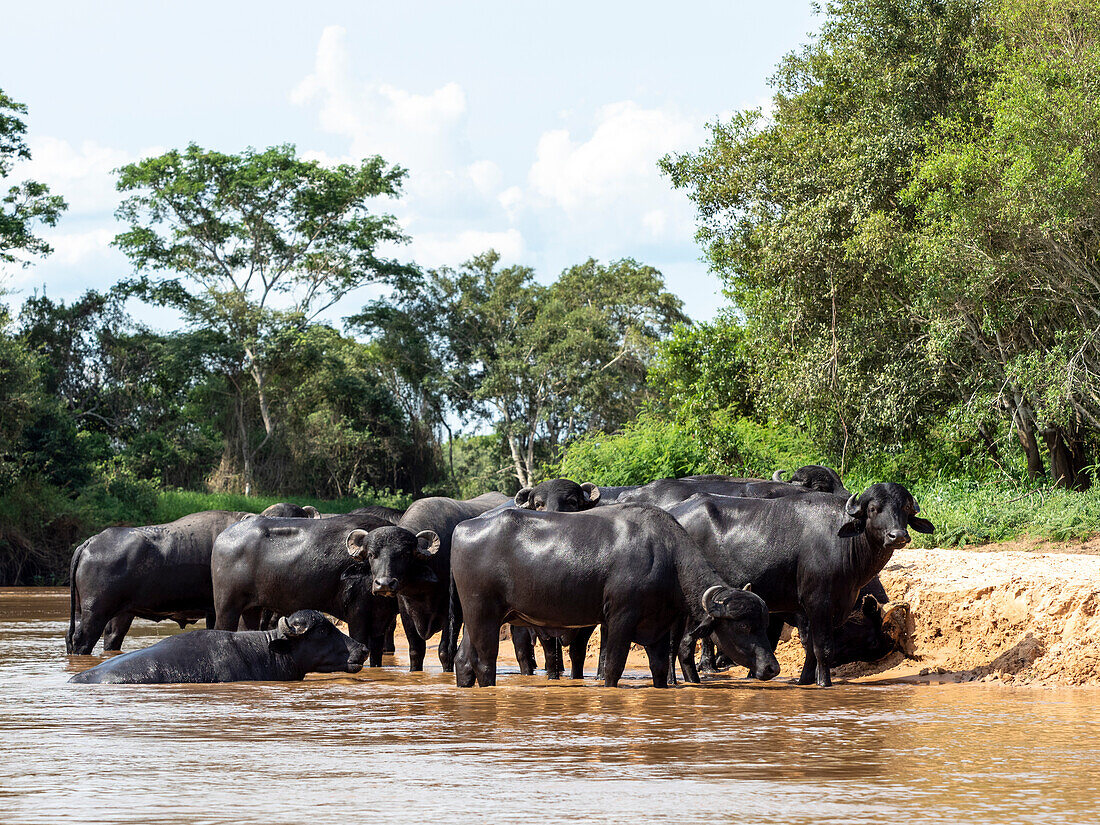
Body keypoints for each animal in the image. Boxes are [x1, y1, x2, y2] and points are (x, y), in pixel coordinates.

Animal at [209, 514, 396, 668]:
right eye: (372, 555)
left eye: (400, 554)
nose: (384, 583)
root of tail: (222, 536)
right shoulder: (357, 616)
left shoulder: (382, 619)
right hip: (227, 607)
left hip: (252, 609)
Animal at [448, 508, 783, 686]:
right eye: (743, 626)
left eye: (765, 624)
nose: (772, 668)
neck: (666, 559)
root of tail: (463, 527)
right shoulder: (620, 619)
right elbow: (613, 666)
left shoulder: (658, 629)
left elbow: (659, 668)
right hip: (484, 615)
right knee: (484, 662)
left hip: (478, 618)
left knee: (463, 660)